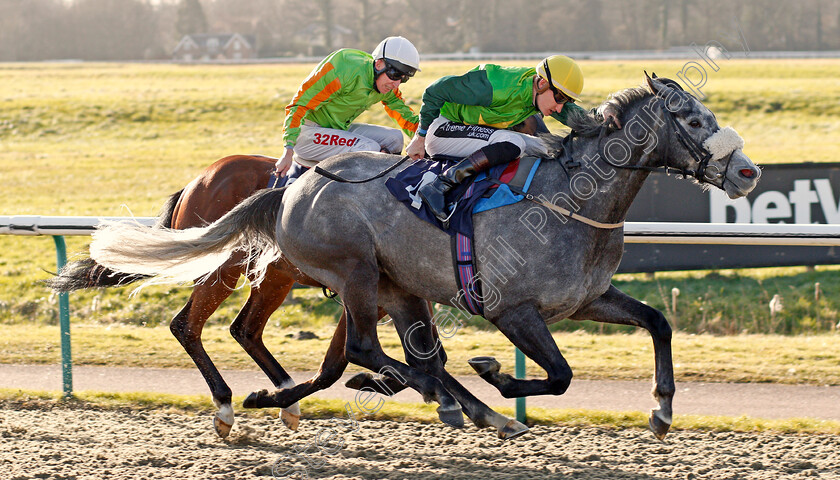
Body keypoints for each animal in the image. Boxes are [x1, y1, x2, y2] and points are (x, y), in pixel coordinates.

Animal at [85, 74, 760, 438]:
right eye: (692, 119)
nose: (748, 172)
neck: (569, 197)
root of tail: (291, 187)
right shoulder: (512, 309)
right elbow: (558, 375)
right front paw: (494, 377)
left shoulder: (586, 299)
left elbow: (658, 321)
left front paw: (662, 410)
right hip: (348, 274)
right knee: (340, 344)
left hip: (388, 286)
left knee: (321, 344)